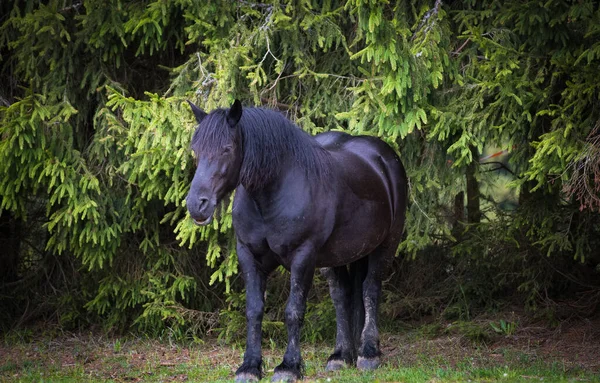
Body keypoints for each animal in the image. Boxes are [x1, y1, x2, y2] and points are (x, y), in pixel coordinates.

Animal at [188, 100, 408, 382]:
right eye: (196, 150)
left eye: (227, 148)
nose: (197, 205)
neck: (274, 195)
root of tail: (382, 158)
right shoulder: (248, 256)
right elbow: (254, 310)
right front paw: (249, 367)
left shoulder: (302, 257)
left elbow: (294, 311)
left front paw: (289, 366)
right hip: (338, 255)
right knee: (341, 296)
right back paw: (340, 356)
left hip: (386, 245)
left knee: (370, 289)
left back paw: (369, 353)